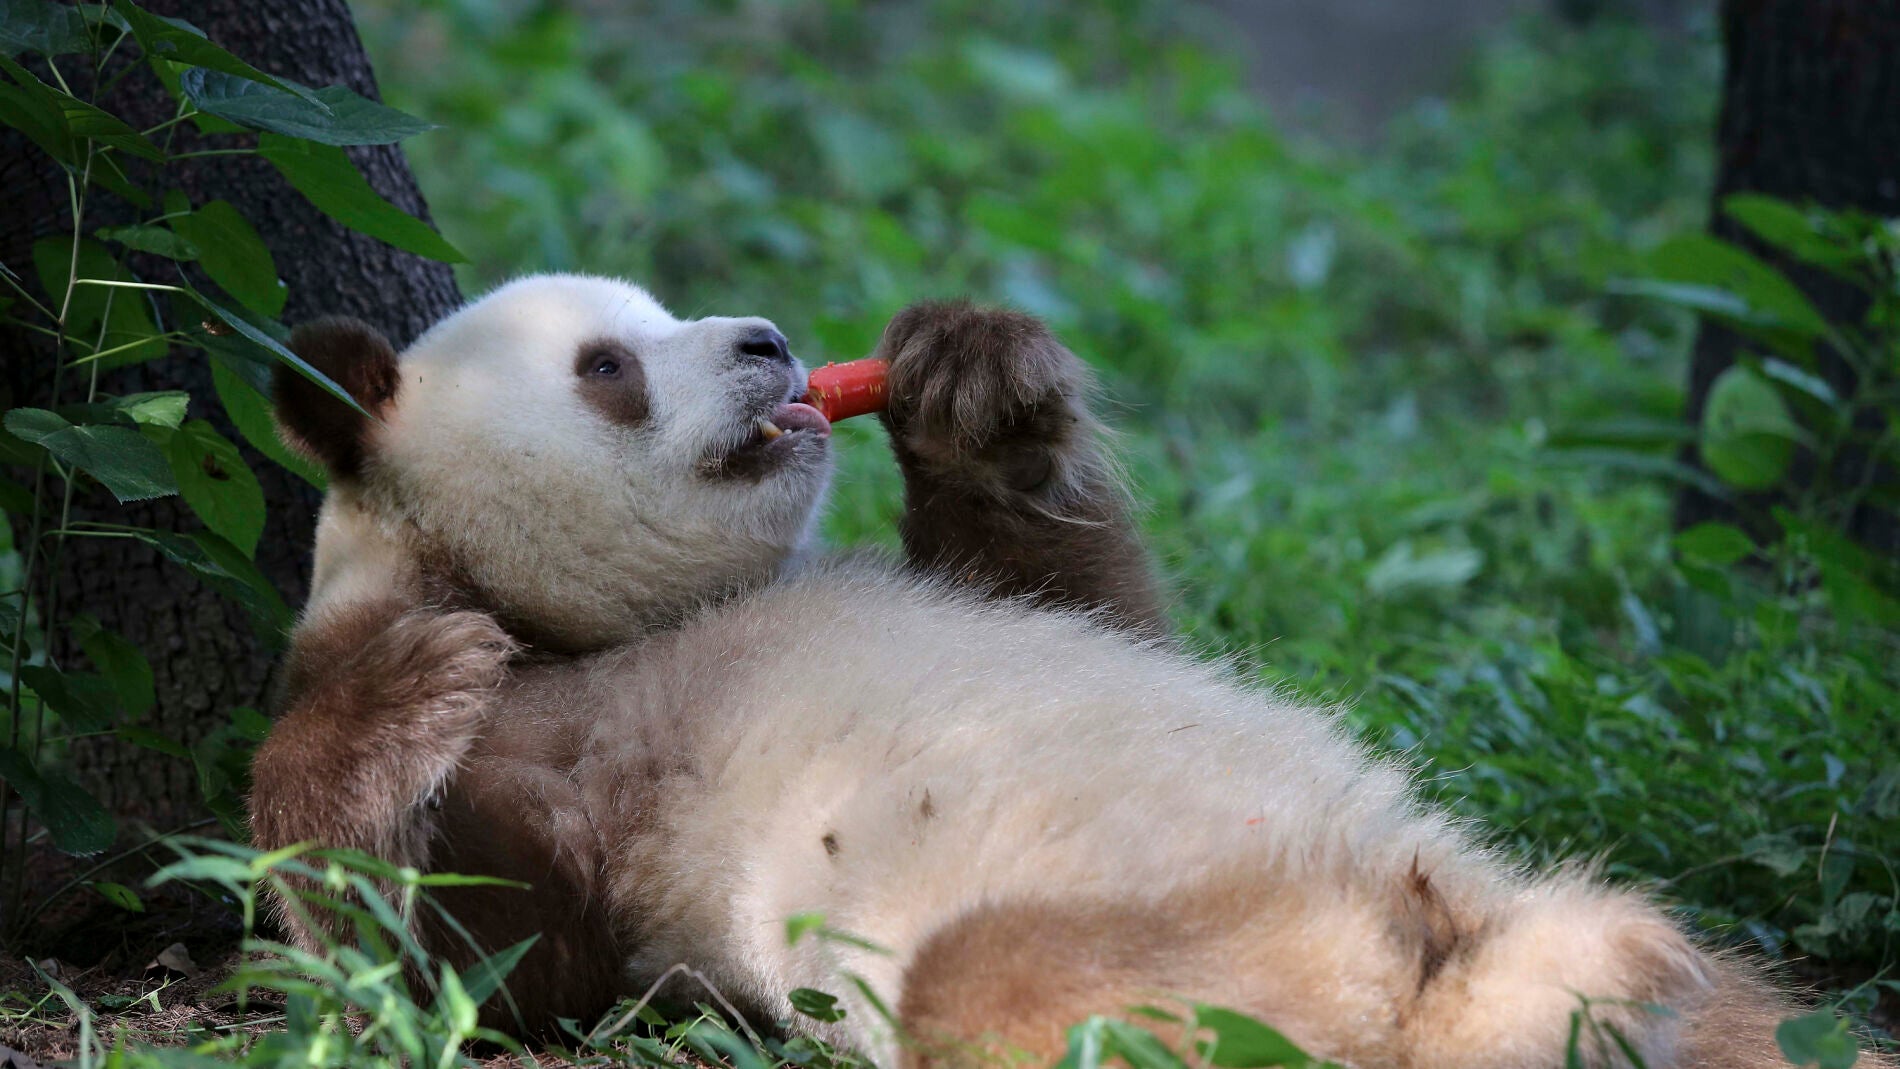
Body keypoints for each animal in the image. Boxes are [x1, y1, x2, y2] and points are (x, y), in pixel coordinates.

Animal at [247, 274, 1828, 1069]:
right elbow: (466, 957)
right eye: (605, 367)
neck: (604, 619)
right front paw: (417, 686)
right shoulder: (565, 775)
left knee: (1768, 1019)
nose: (769, 341)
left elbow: (1084, 595)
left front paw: (972, 381)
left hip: (1685, 979)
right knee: (1043, 994)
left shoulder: (1012, 591)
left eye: (668, 307)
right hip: (1078, 945)